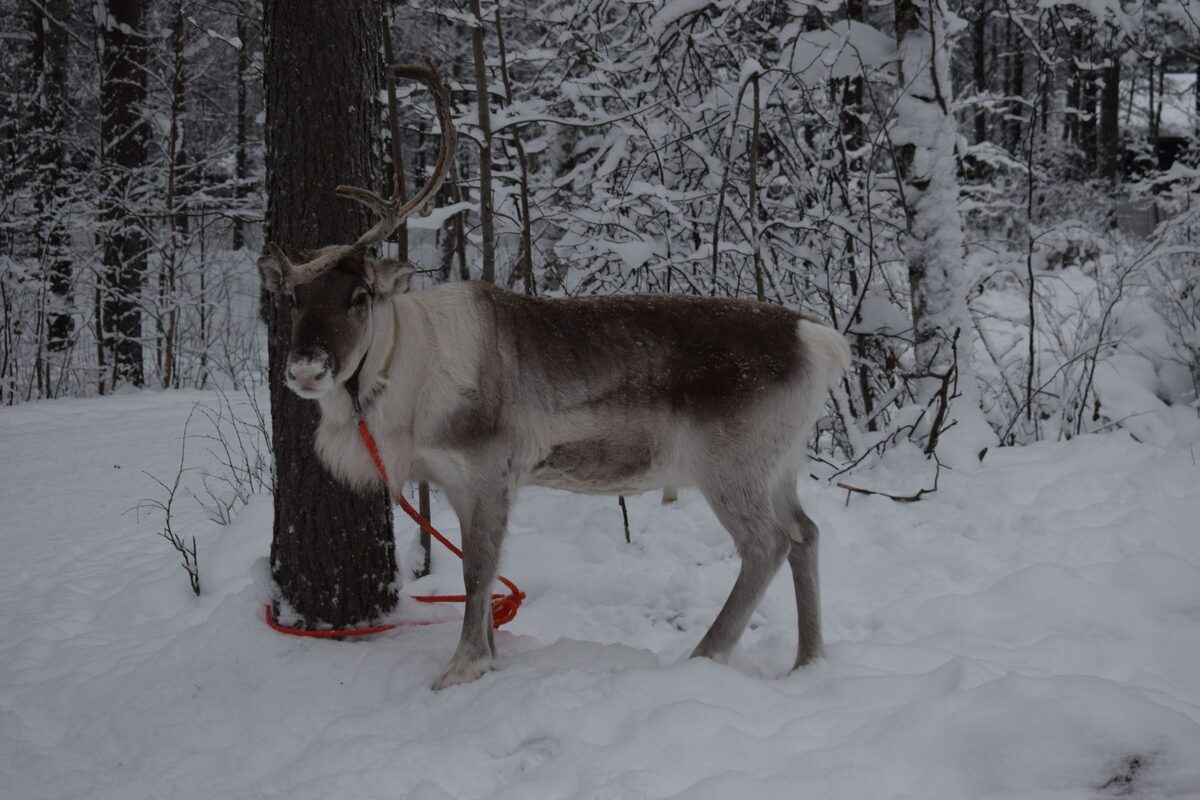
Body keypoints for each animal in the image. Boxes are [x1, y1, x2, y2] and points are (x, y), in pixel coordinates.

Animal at [259, 62, 852, 690]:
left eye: (360, 297)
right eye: (293, 298)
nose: (305, 369)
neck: (407, 379)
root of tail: (818, 339)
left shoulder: (488, 470)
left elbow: (477, 572)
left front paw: (463, 666)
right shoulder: (454, 479)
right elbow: (485, 571)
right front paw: (490, 655)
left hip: (731, 467)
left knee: (768, 543)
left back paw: (706, 654)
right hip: (780, 465)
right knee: (807, 533)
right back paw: (808, 660)